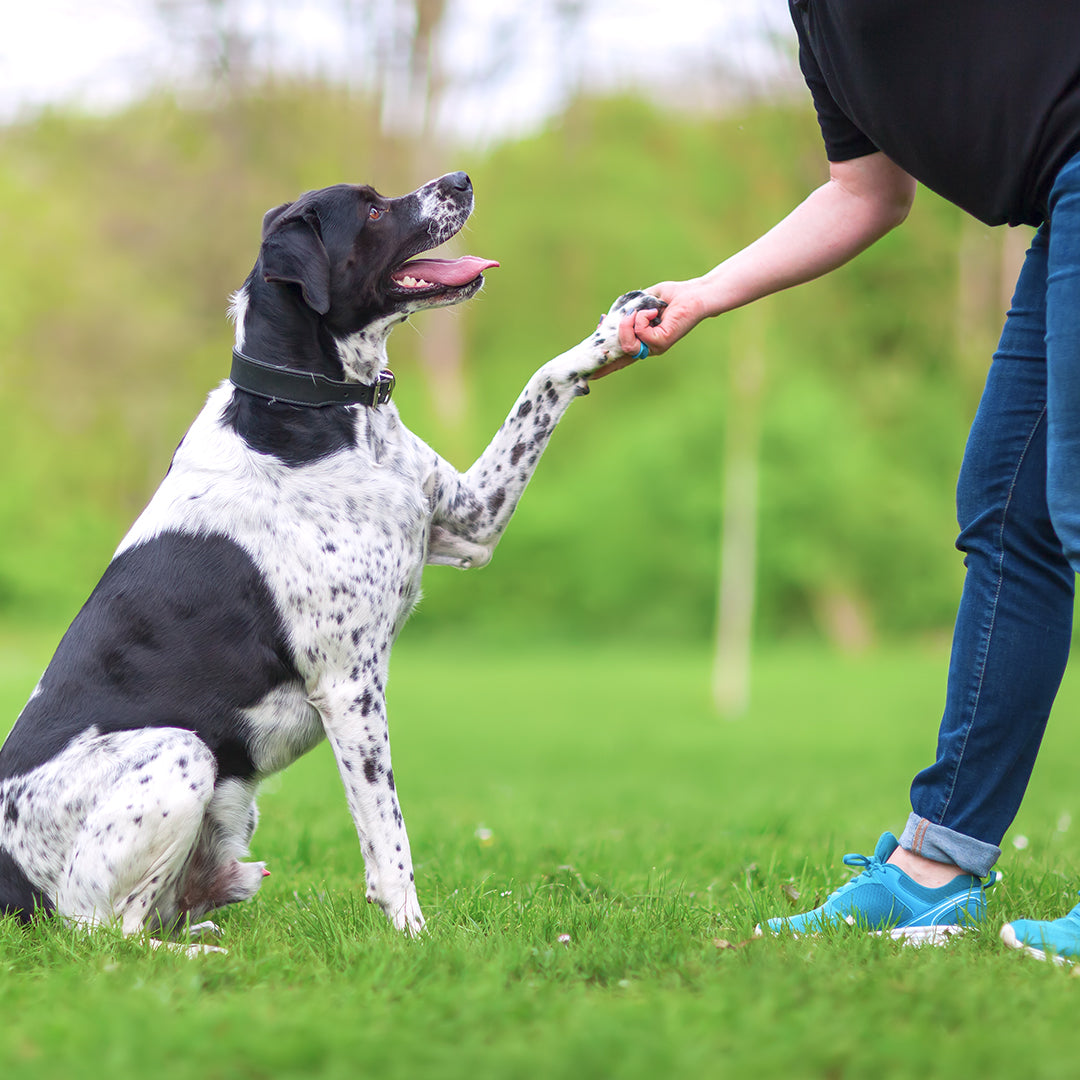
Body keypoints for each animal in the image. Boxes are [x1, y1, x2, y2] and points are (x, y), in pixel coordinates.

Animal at [0, 170, 665, 946]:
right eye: (372, 210)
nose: (460, 179)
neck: (322, 411)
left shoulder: (471, 522)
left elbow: (541, 383)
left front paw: (615, 329)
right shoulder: (350, 687)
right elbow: (389, 836)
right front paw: (413, 938)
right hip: (179, 755)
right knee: (105, 931)